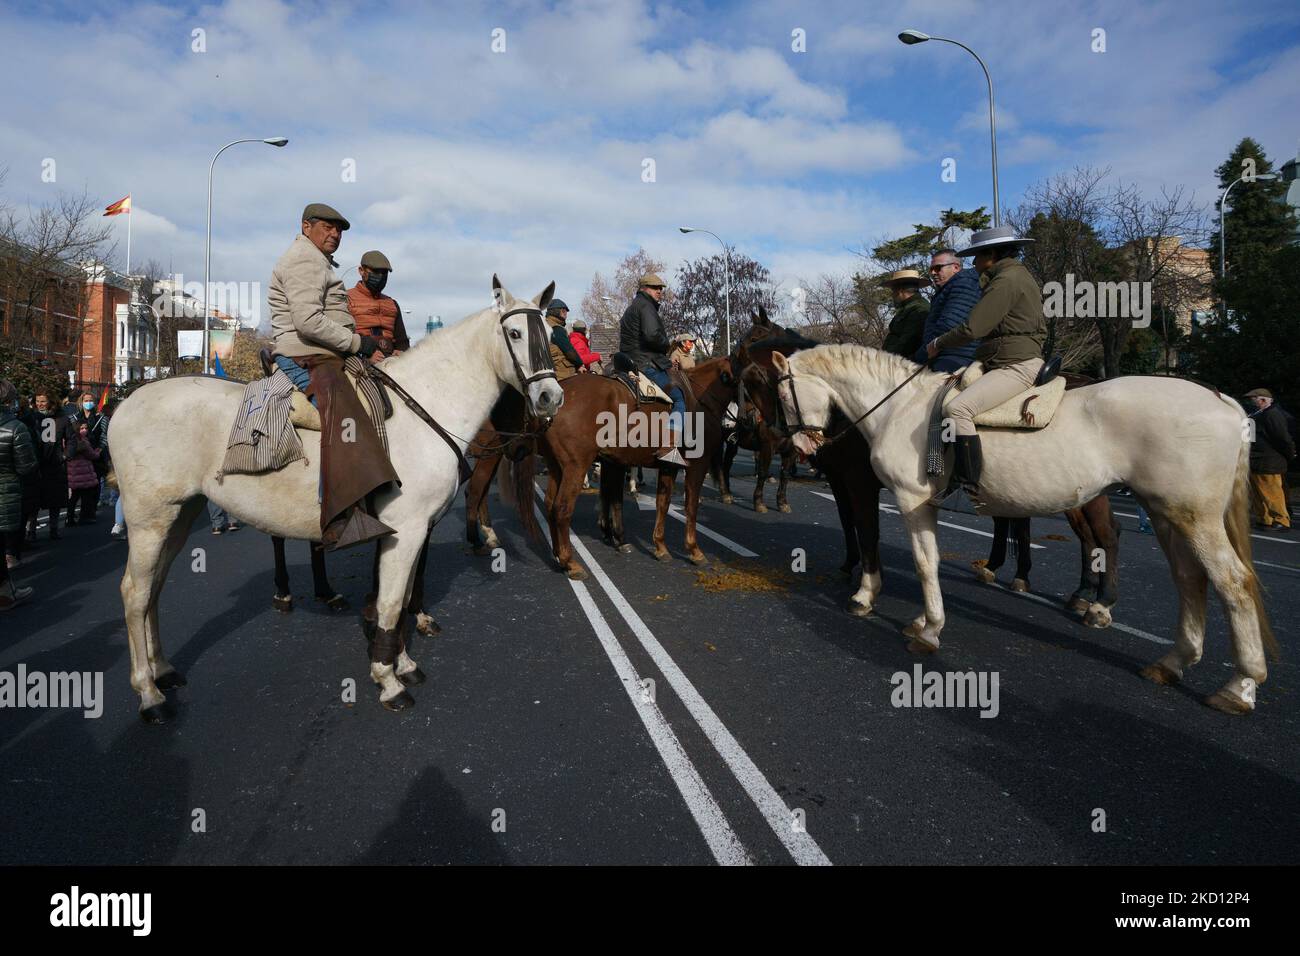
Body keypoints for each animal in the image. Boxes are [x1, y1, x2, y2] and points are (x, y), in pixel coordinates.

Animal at [109, 274, 561, 717]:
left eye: (548, 332)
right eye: (515, 333)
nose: (550, 397)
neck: (425, 408)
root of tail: (126, 403)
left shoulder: (415, 531)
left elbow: (399, 599)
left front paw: (402, 663)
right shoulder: (406, 530)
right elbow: (391, 603)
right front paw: (388, 679)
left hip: (181, 515)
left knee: (154, 588)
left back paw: (163, 670)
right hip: (149, 520)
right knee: (134, 592)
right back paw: (148, 692)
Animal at [769, 348, 1279, 712]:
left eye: (782, 395)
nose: (799, 447)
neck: (901, 407)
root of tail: (1222, 400)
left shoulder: (911, 502)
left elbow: (923, 563)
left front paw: (927, 628)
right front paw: (918, 617)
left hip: (1193, 517)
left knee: (1231, 582)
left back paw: (1240, 684)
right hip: (1165, 513)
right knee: (1190, 579)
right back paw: (1173, 661)